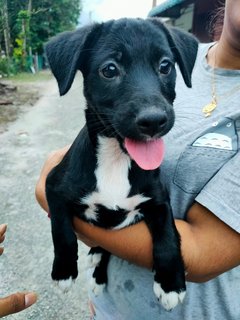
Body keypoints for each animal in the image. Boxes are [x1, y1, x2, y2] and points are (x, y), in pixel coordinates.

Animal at [46, 16, 198, 310]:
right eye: (109, 70)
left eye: (165, 66)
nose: (154, 120)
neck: (116, 158)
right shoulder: (53, 186)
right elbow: (62, 231)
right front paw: (63, 272)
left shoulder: (158, 201)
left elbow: (168, 237)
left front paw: (170, 284)